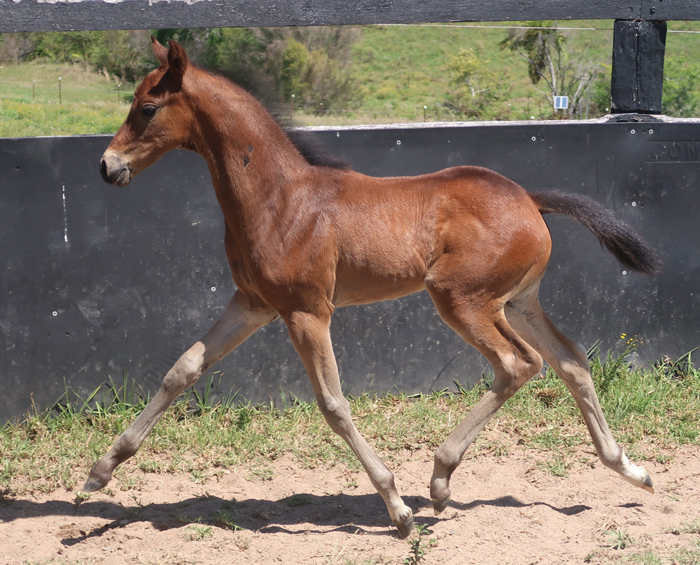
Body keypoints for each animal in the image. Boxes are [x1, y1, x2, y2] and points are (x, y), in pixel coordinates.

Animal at [86, 37, 660, 536]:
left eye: (148, 107)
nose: (108, 166)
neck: (280, 199)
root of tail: (528, 199)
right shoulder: (253, 304)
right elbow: (181, 369)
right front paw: (101, 469)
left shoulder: (307, 312)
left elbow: (333, 404)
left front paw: (397, 506)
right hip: (518, 302)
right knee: (572, 360)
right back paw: (629, 469)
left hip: (463, 300)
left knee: (519, 364)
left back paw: (440, 479)